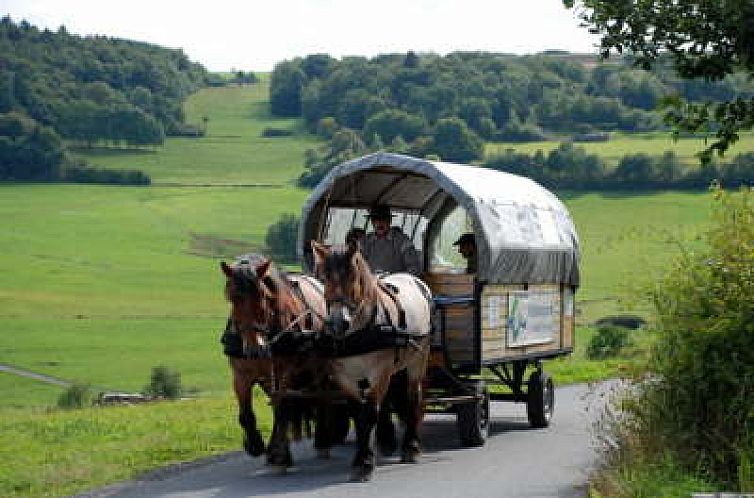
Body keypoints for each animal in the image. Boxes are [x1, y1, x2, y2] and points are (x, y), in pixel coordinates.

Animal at [220, 255, 332, 472]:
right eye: (232, 297)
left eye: (263, 296)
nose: (255, 349)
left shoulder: (284, 372)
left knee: (321, 398)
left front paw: (280, 455)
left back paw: (322, 441)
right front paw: (254, 444)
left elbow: (282, 409)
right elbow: (246, 414)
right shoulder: (241, 375)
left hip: (319, 370)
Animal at [310, 241, 428, 482]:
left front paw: (365, 463)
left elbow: (370, 413)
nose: (337, 324)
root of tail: (416, 280)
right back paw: (388, 442)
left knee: (413, 398)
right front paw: (361, 460)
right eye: (324, 278)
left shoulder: (379, 372)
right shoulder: (345, 377)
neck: (357, 333)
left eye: (353, 277)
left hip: (417, 361)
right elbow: (358, 415)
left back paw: (410, 447)